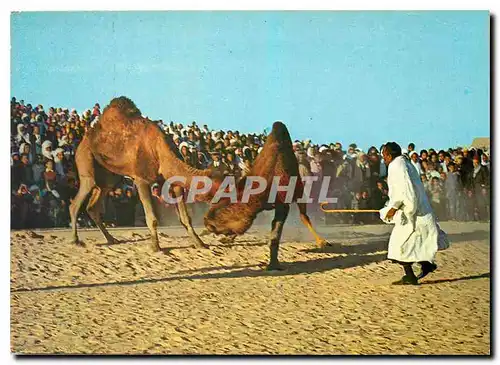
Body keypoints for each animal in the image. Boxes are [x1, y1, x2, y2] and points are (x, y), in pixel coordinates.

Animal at [69, 96, 218, 250]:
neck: (160, 149)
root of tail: (84, 139)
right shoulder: (141, 180)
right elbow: (152, 218)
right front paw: (156, 247)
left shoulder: (172, 182)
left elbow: (185, 217)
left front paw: (200, 243)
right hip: (85, 158)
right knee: (78, 200)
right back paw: (76, 240)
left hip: (107, 175)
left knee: (95, 203)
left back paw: (111, 239)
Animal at [203, 121, 328, 268]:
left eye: (223, 212)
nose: (206, 221)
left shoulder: (286, 200)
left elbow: (279, 230)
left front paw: (273, 264)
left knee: (304, 216)